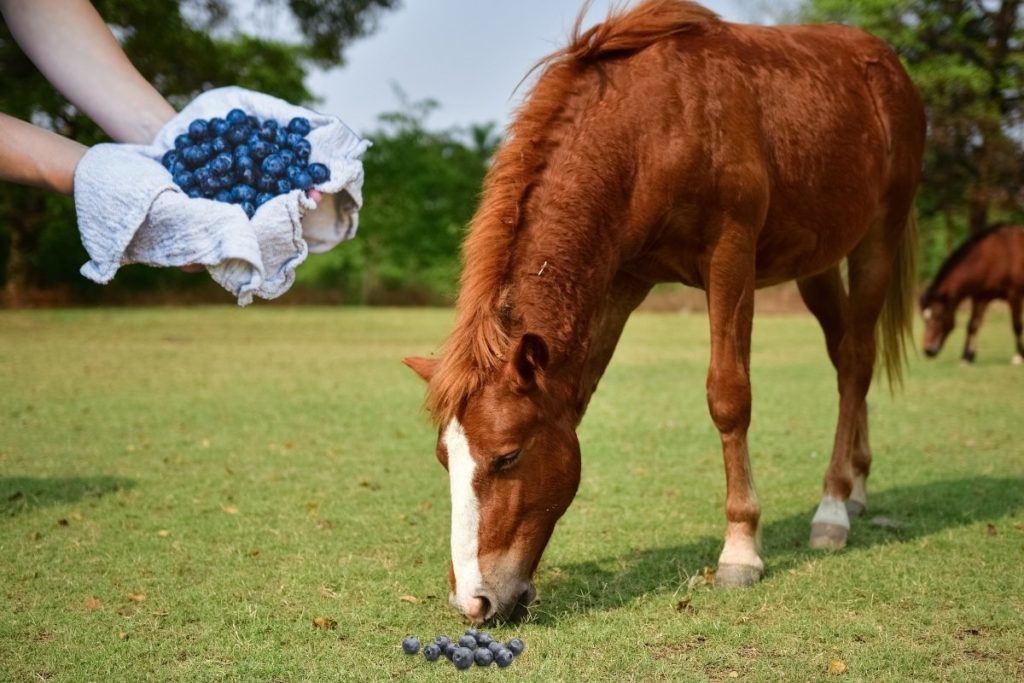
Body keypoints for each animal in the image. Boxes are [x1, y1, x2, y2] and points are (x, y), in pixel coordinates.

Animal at [403, 0, 925, 626]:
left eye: (507, 457)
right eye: (444, 458)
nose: (474, 600)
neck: (652, 130)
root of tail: (886, 65)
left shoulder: (730, 256)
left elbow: (729, 396)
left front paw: (741, 550)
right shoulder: (622, 280)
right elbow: (578, 399)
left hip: (878, 238)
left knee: (857, 360)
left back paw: (833, 508)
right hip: (816, 263)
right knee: (845, 355)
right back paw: (858, 487)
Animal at [921, 223, 1024, 362]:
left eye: (938, 317)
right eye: (924, 319)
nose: (927, 350)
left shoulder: (1014, 295)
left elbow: (1017, 325)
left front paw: (1019, 356)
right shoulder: (981, 298)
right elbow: (972, 325)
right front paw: (967, 356)